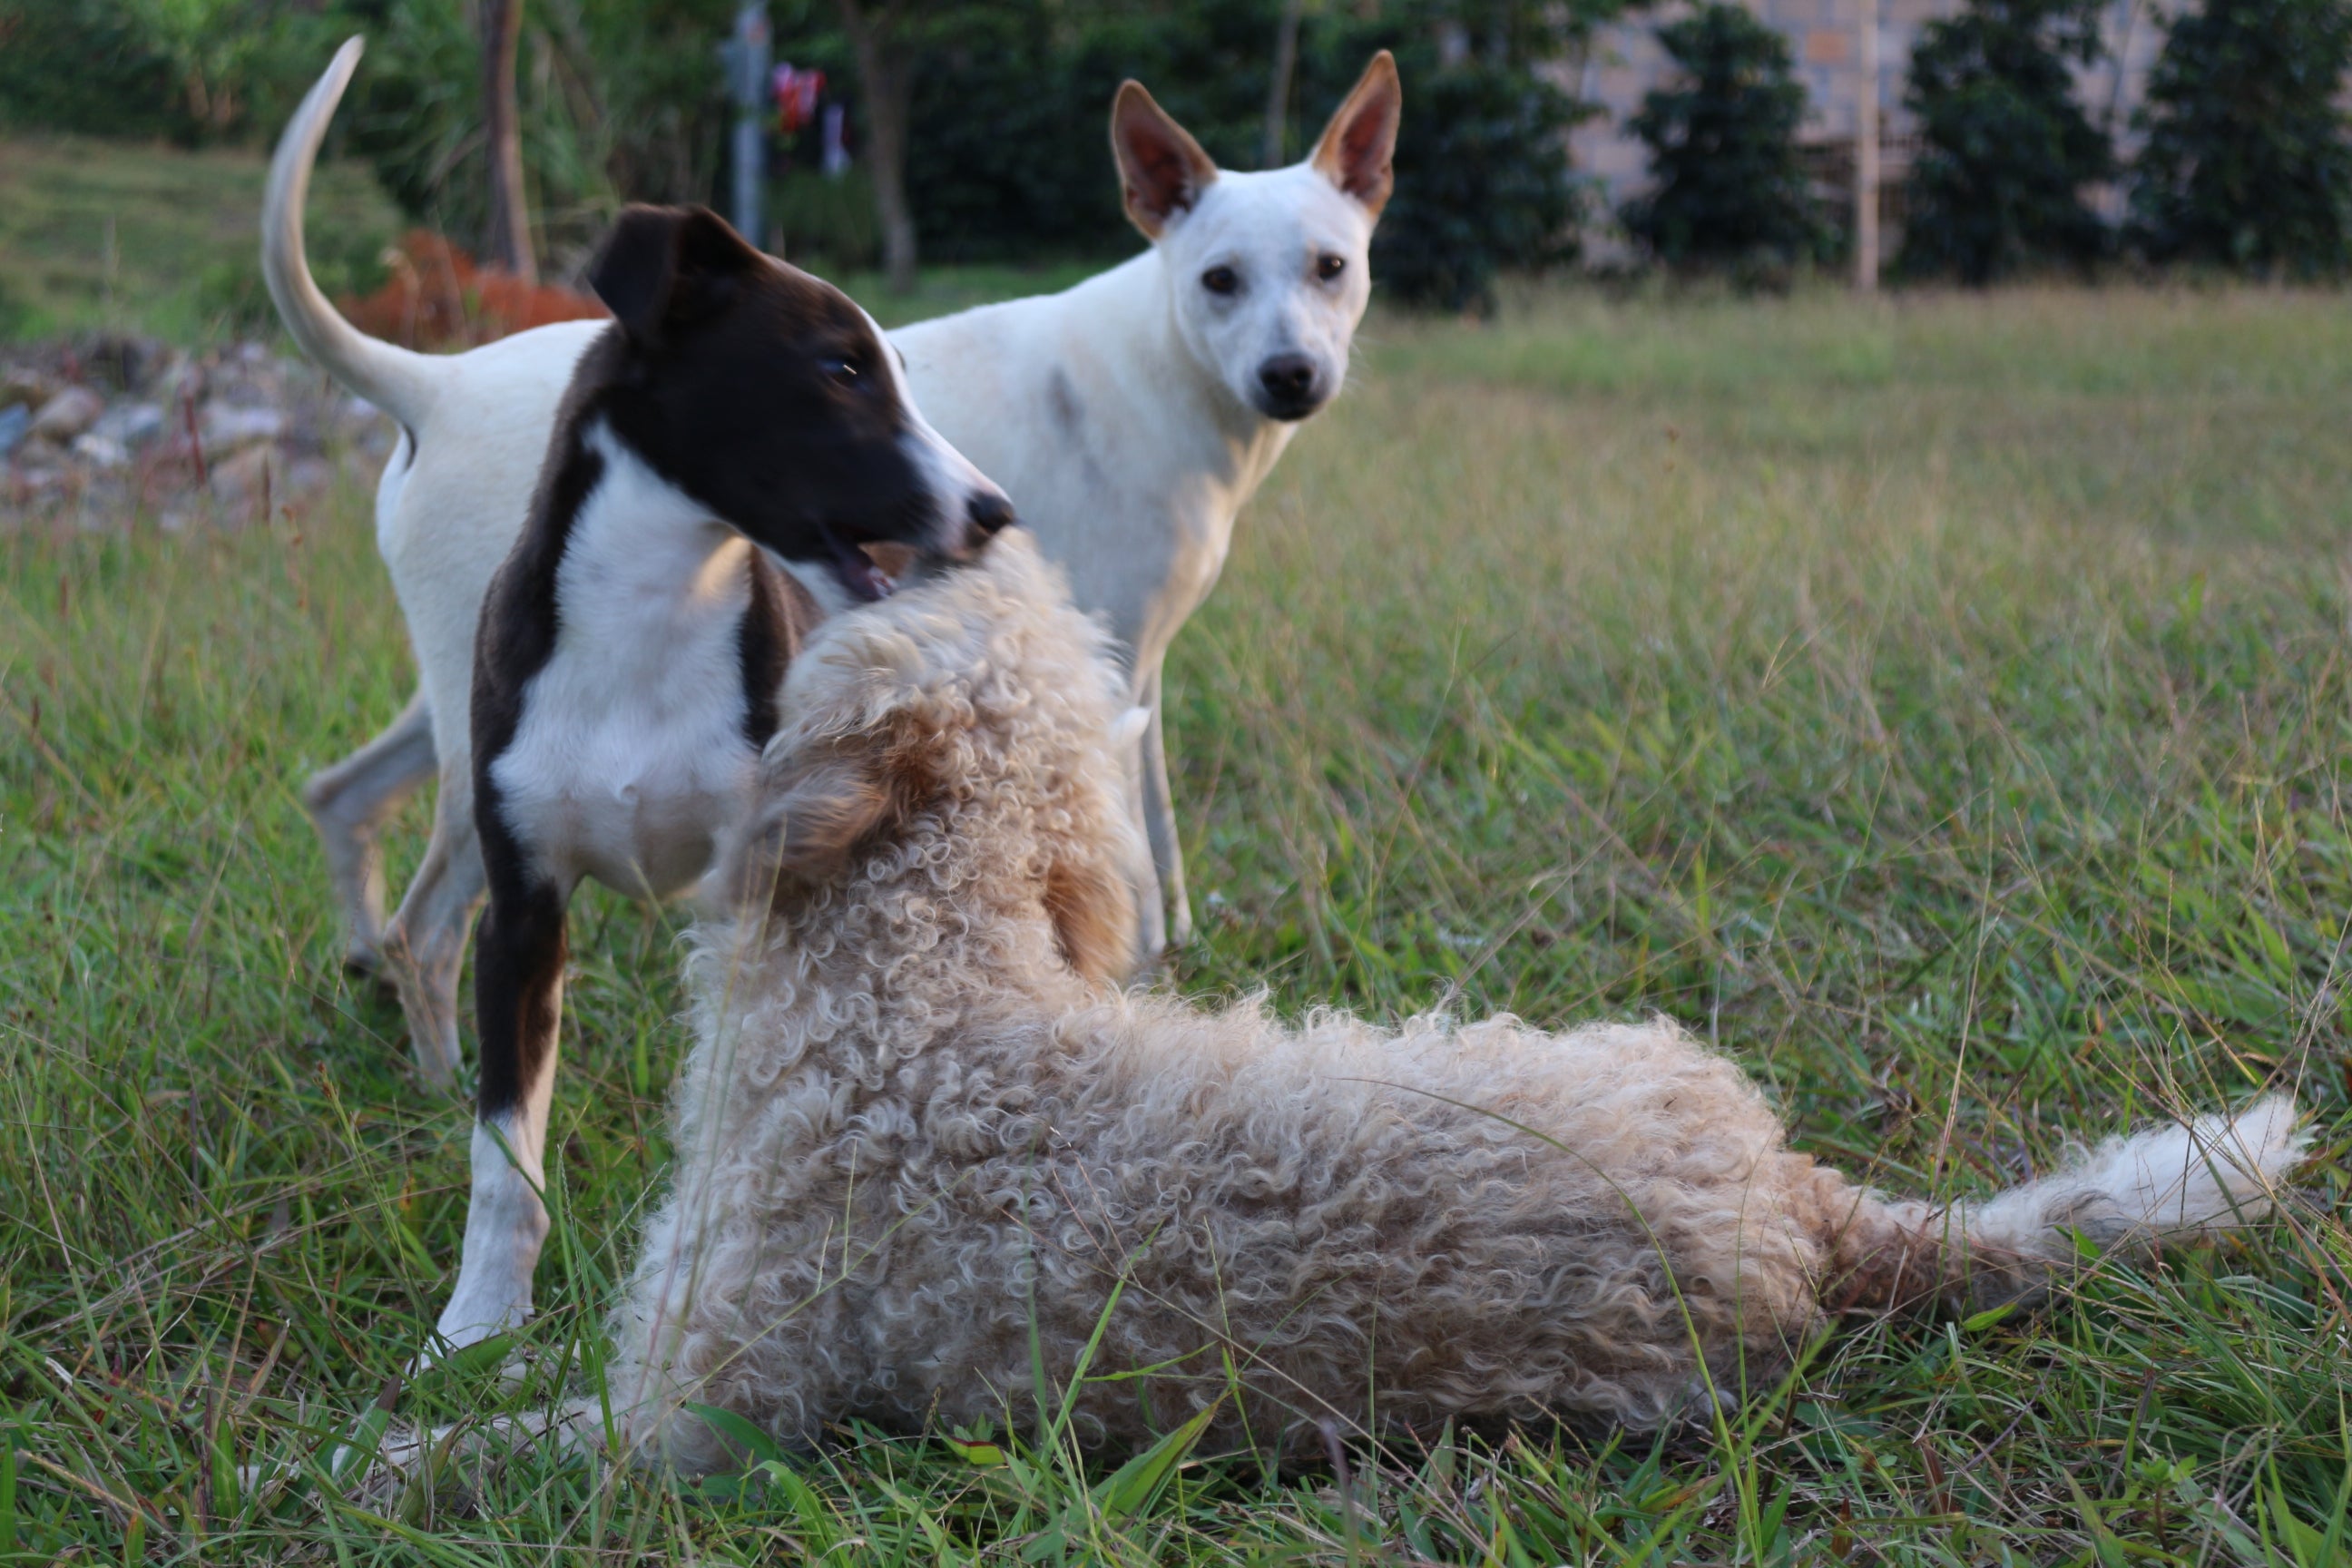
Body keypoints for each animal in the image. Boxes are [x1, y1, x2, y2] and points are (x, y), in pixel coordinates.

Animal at [269, 49, 1392, 1091]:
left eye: (1330, 267)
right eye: (1220, 280)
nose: (1291, 376)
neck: (1155, 358)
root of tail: (434, 382)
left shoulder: (1136, 667)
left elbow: (1155, 826)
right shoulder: (1106, 663)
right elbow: (1131, 844)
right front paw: (1141, 969)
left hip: (461, 706)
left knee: (339, 795)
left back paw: (376, 985)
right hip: (487, 762)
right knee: (430, 922)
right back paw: (446, 1086)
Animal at [437, 205, 1006, 1354]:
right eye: (841, 369)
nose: (993, 510)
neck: (649, 617)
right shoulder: (519, 916)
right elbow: (502, 1153)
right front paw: (477, 1329)